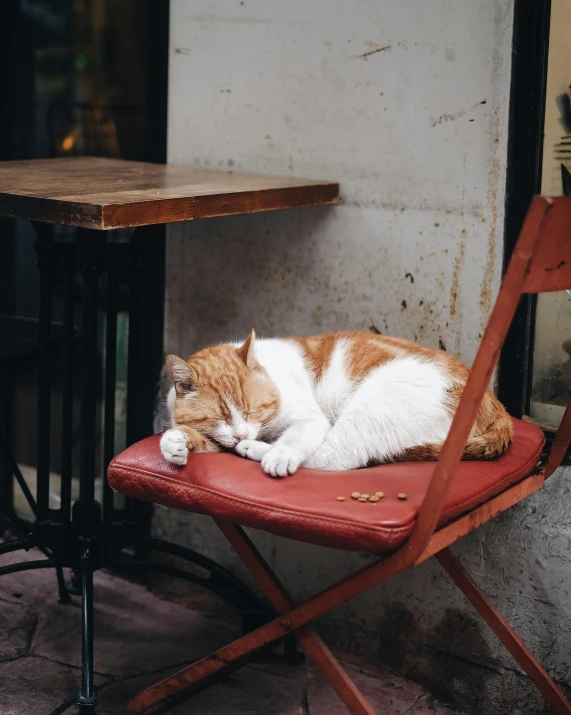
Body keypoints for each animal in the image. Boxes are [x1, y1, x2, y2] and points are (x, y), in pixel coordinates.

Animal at [160, 332, 512, 478]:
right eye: (219, 416)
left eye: (251, 410)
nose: (242, 435)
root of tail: (495, 403)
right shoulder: (219, 437)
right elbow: (195, 437)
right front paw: (175, 444)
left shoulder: (309, 419)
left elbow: (297, 439)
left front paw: (277, 454)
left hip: (373, 405)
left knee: (332, 459)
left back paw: (258, 451)